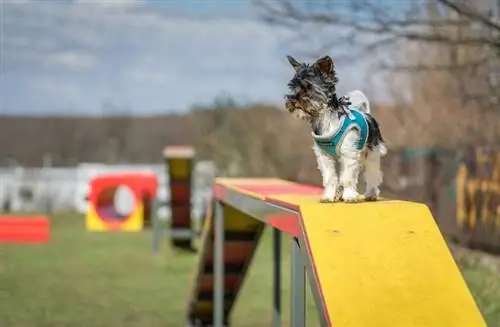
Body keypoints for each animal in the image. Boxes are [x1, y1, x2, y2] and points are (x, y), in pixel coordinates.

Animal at [286, 55, 386, 204]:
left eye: (309, 86)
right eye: (294, 88)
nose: (292, 100)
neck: (326, 119)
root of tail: (367, 115)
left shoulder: (349, 153)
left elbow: (348, 178)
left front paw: (349, 196)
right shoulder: (324, 156)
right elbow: (330, 178)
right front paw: (328, 196)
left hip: (372, 154)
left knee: (373, 174)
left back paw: (371, 194)